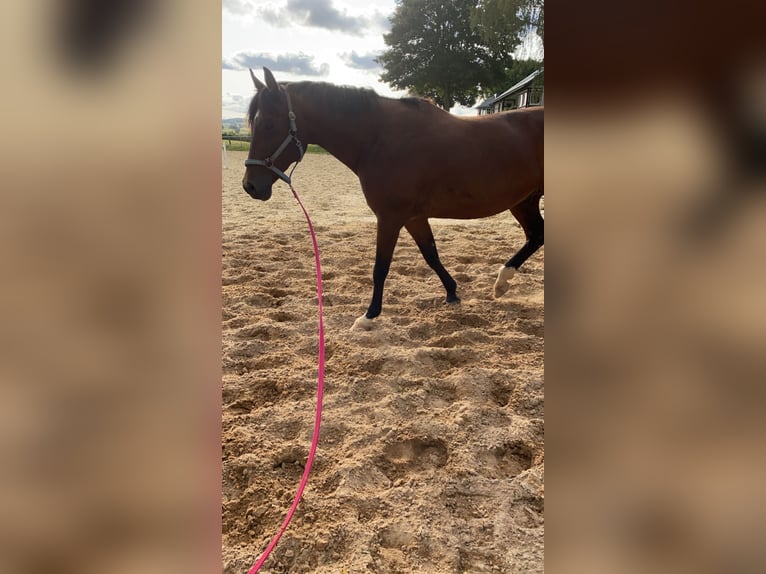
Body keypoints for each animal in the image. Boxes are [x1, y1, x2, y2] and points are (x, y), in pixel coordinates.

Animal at [243, 67, 544, 330]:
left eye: (268, 124)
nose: (250, 186)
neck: (378, 138)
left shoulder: (389, 217)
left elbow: (381, 267)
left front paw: (368, 317)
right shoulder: (413, 217)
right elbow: (430, 254)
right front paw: (452, 293)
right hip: (524, 200)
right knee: (536, 236)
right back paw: (502, 282)